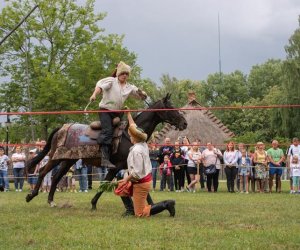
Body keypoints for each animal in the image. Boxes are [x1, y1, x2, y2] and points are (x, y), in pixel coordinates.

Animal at [25, 93, 186, 209]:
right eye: (170, 107)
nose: (184, 123)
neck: (129, 135)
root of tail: (62, 128)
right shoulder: (116, 167)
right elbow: (105, 183)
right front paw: (93, 203)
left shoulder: (129, 168)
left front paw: (152, 205)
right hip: (56, 157)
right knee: (43, 172)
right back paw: (31, 195)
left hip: (68, 161)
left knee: (56, 177)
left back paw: (51, 201)